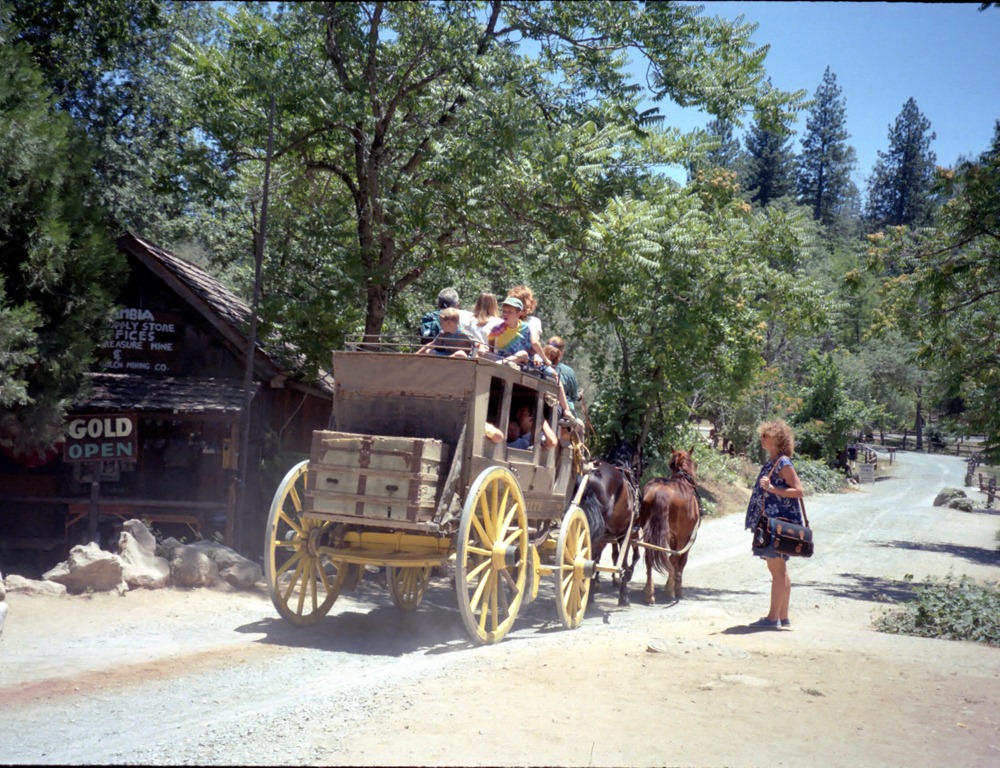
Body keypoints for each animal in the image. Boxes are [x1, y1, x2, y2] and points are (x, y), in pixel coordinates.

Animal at [637, 447, 702, 604]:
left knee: (649, 558)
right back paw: (670, 590)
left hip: (649, 534)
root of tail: (660, 492)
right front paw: (676, 588)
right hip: (680, 537)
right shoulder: (687, 537)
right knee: (674, 558)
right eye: (695, 464)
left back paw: (649, 593)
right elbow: (680, 561)